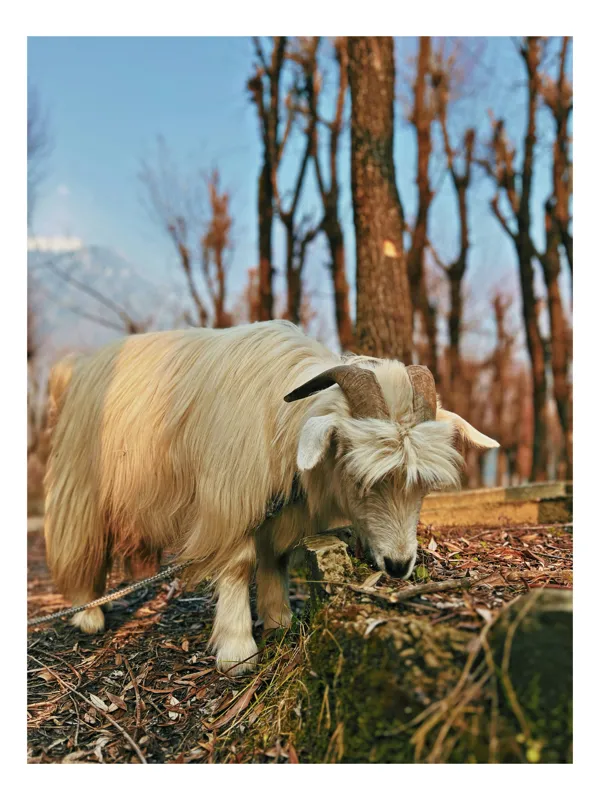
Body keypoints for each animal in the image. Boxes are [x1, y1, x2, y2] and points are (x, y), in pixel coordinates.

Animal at [44, 320, 498, 675]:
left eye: (421, 486)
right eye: (357, 476)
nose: (400, 565)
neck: (280, 416)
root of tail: (75, 369)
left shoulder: (281, 506)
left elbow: (275, 557)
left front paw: (280, 618)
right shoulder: (229, 497)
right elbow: (239, 563)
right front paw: (237, 650)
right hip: (81, 485)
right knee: (79, 541)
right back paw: (88, 612)